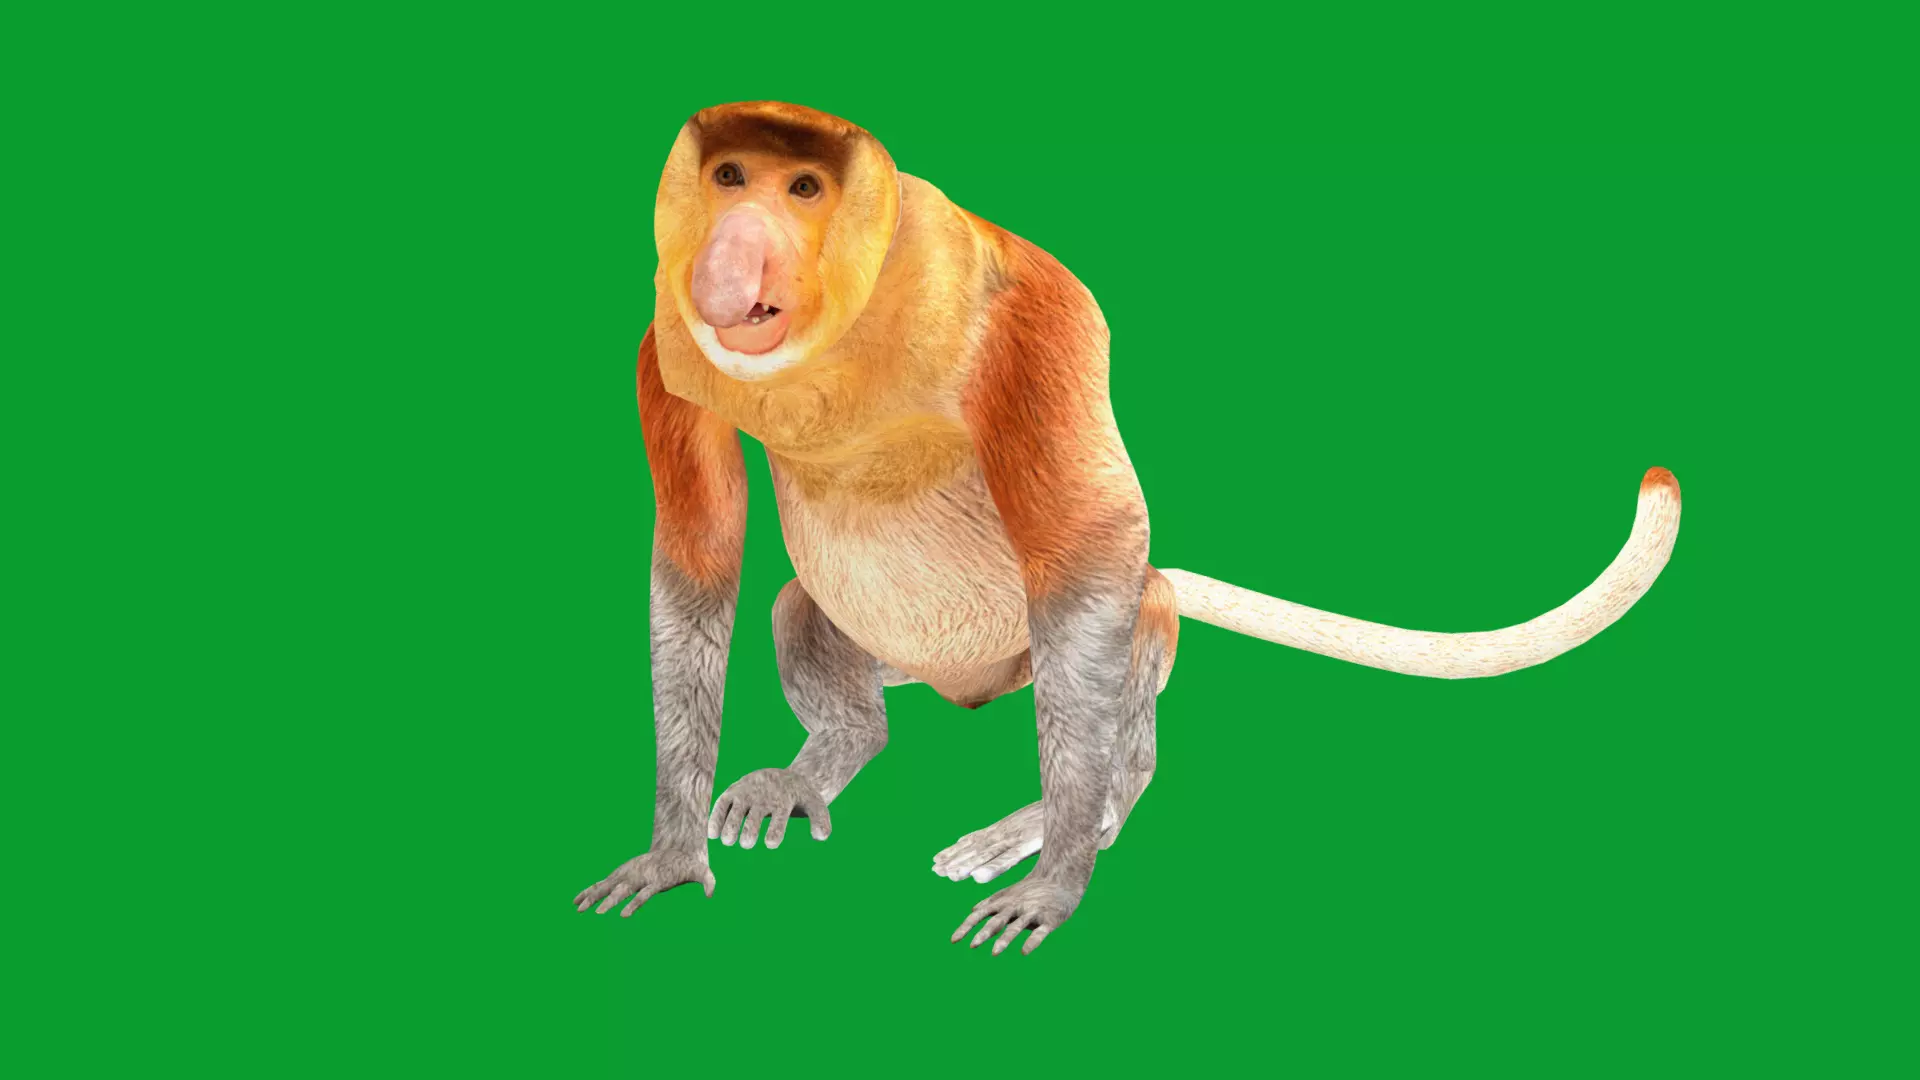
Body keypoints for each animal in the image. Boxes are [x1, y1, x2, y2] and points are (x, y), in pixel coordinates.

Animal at [572, 101, 1683, 957]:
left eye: (803, 189)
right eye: (730, 175)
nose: (732, 257)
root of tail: (962, 689)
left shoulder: (1021, 314)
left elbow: (1085, 553)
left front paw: (1056, 880)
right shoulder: (662, 348)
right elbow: (698, 564)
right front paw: (672, 855)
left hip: (1081, 636)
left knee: (1121, 627)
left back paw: (1064, 818)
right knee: (798, 612)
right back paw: (823, 761)